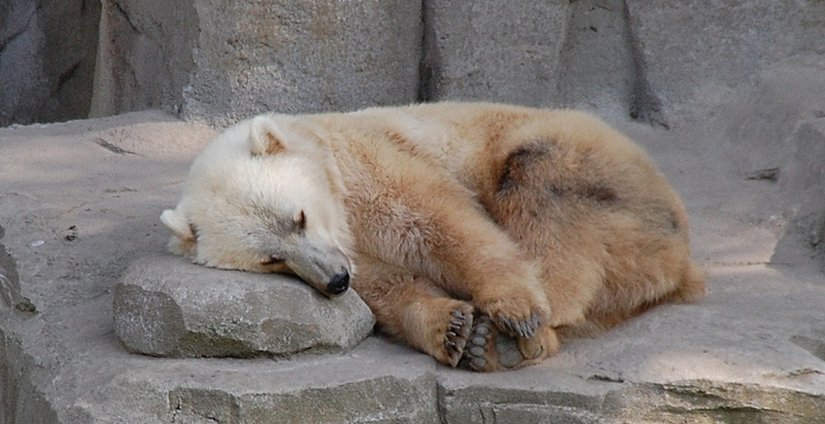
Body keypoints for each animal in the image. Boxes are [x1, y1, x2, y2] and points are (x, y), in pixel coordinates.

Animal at [160, 102, 705, 372]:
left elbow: (435, 221)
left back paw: (518, 334)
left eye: (299, 217)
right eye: (271, 259)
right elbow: (385, 285)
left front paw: (512, 310)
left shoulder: (368, 161)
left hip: (597, 172)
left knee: (543, 191)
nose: (335, 280)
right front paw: (453, 328)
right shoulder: (351, 248)